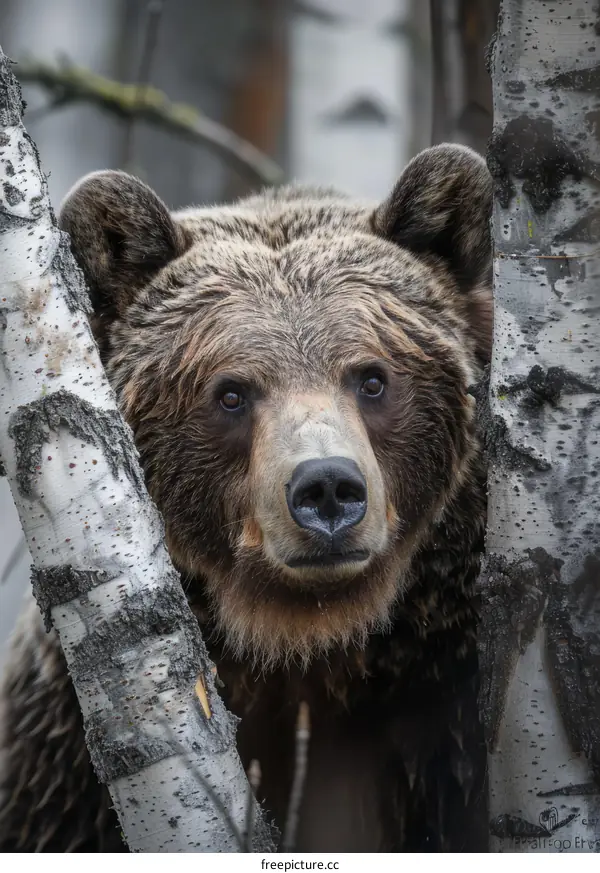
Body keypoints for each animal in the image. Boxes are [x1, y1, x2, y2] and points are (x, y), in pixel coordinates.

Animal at [0, 143, 493, 853]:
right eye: (231, 392)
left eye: (372, 378)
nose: (327, 488)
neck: (306, 647)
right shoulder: (59, 761)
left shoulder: (443, 714)